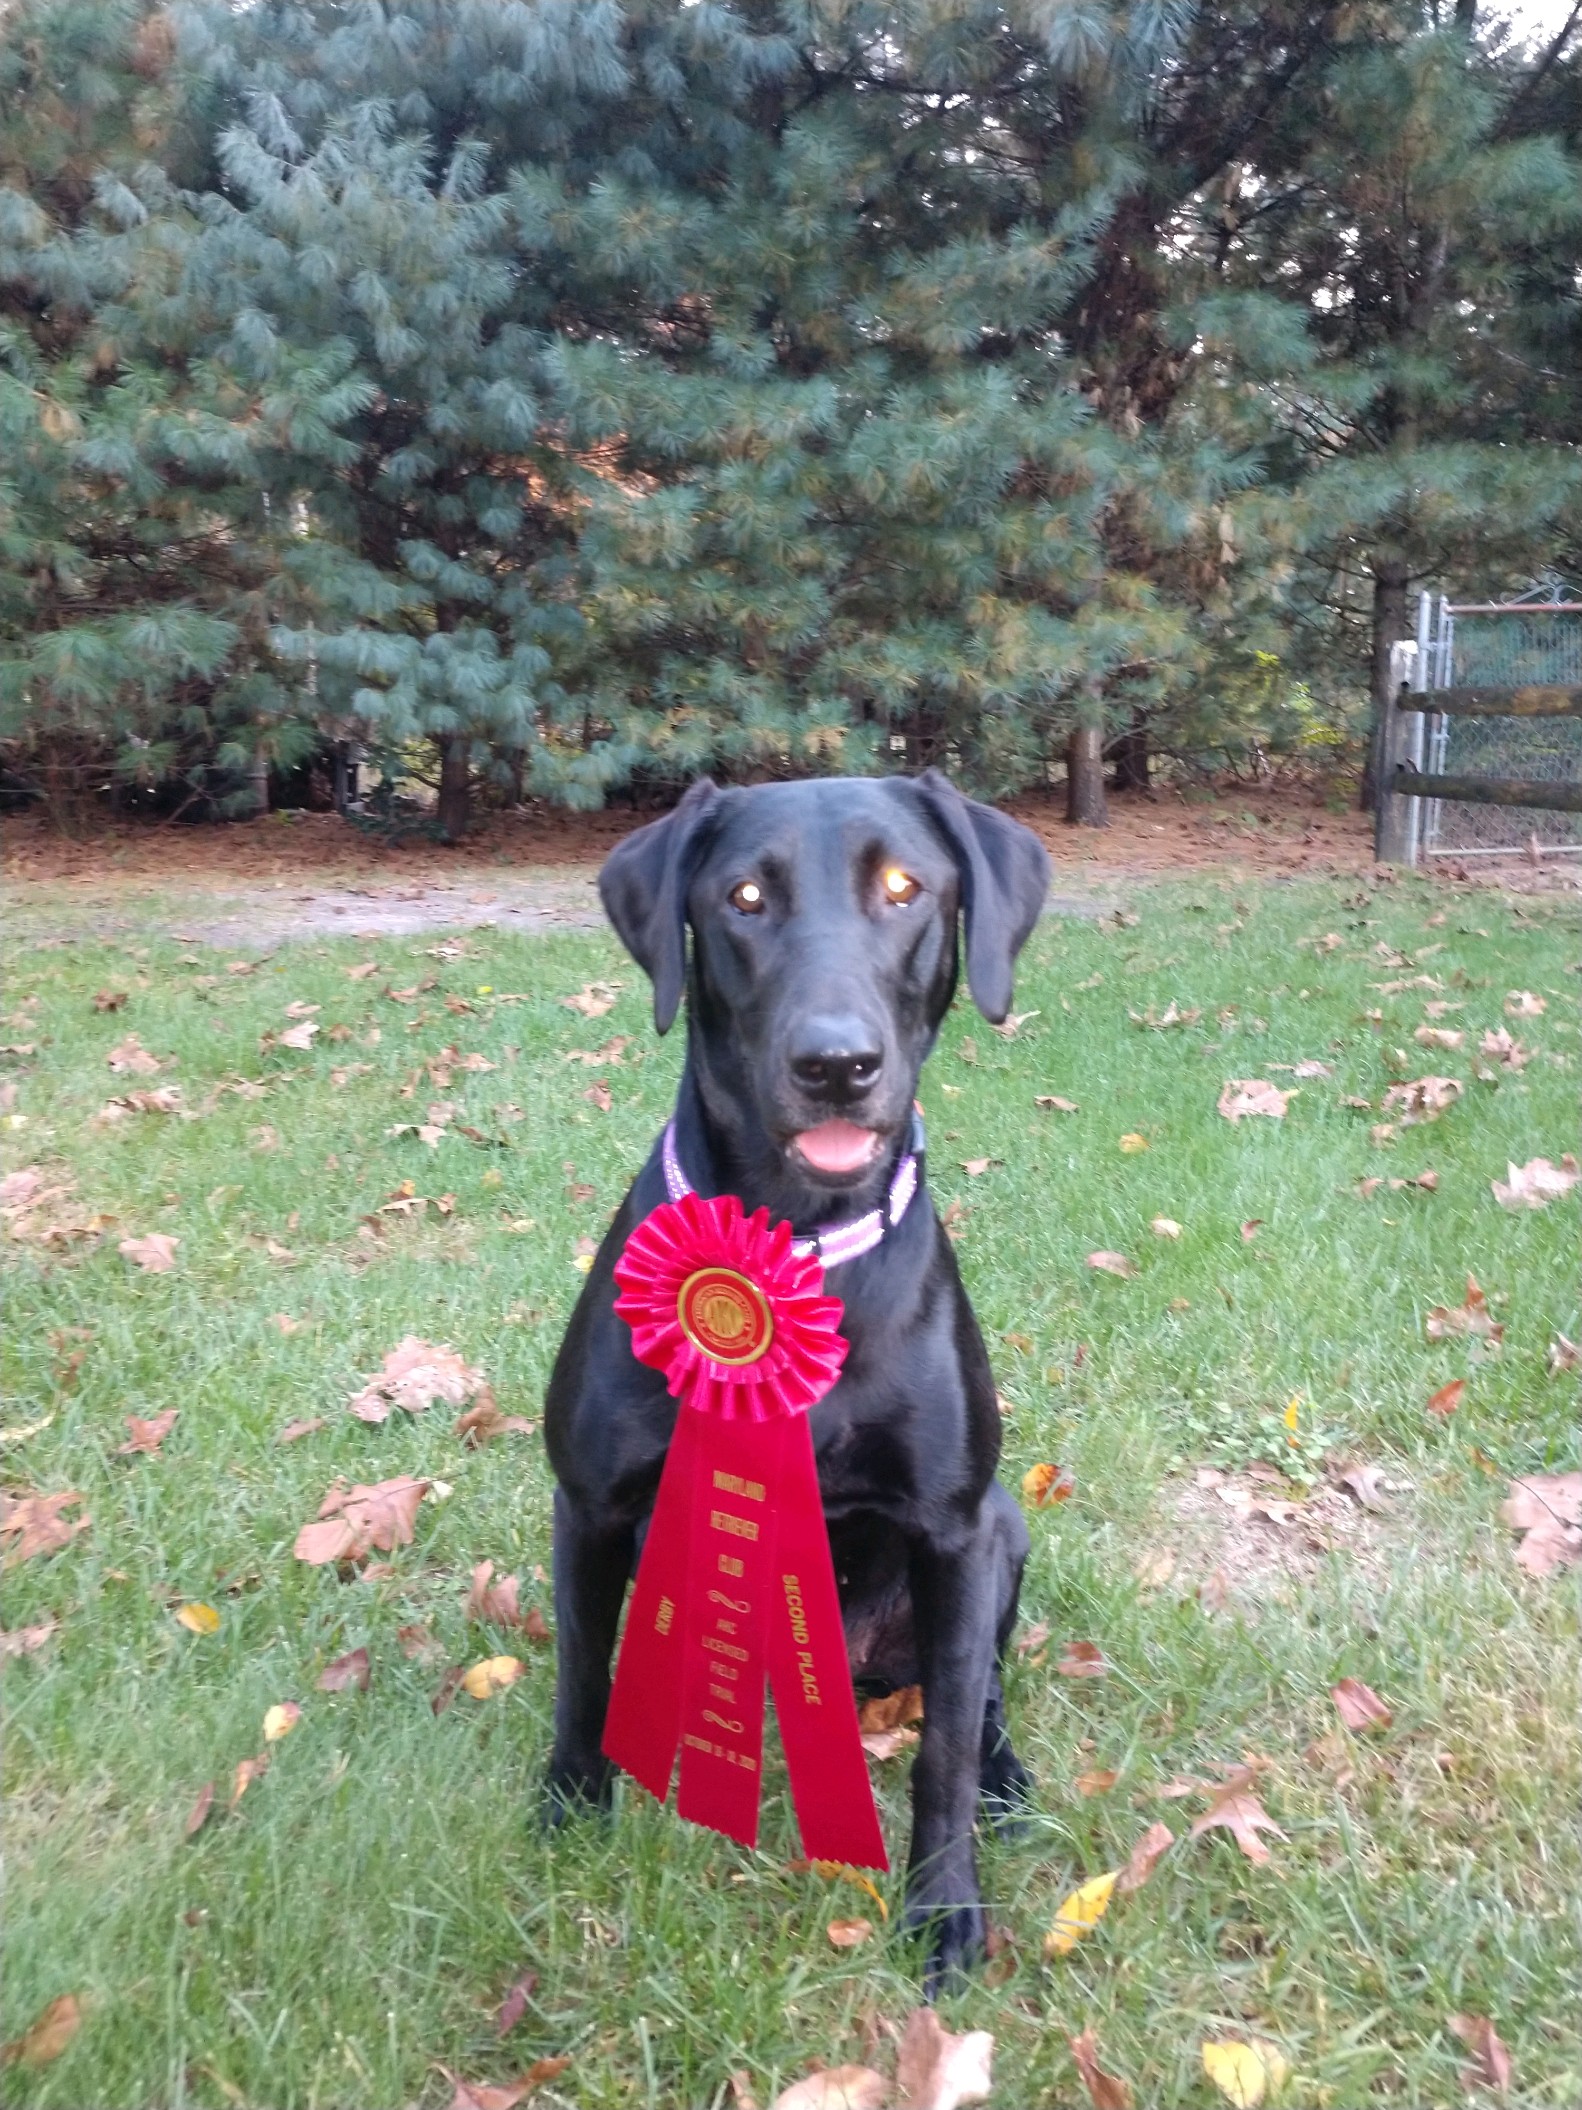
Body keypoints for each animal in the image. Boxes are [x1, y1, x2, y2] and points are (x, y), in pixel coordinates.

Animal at [544, 772, 1054, 1974]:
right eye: (743, 897)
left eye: (905, 888)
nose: (835, 1064)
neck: (797, 1239)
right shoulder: (588, 1504)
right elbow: (583, 1669)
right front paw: (571, 1806)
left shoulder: (956, 1528)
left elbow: (943, 1749)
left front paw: (942, 1909)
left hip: (1005, 1530)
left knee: (983, 1698)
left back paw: (1008, 1777)